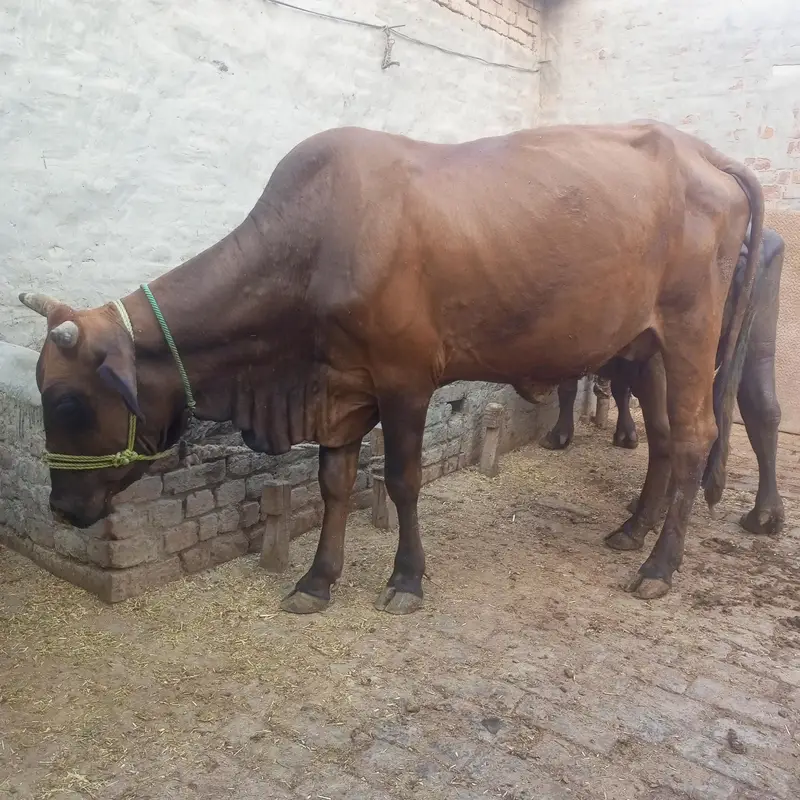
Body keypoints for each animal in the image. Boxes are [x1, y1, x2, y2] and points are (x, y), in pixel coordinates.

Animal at [541, 228, 785, 539]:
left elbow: (570, 387)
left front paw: (558, 436)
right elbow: (619, 390)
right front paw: (626, 434)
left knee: (677, 430)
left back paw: (650, 511)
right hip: (758, 342)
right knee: (763, 410)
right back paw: (765, 515)